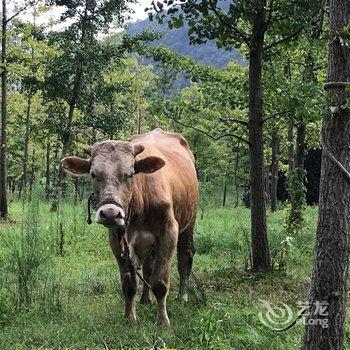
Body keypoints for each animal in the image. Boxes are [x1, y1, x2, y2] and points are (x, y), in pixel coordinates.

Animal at [59, 129, 197, 326]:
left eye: (130, 174)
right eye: (93, 174)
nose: (110, 213)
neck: (140, 201)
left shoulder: (169, 232)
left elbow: (160, 282)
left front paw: (162, 320)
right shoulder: (117, 237)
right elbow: (129, 284)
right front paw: (129, 318)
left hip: (189, 222)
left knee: (185, 257)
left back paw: (183, 296)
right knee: (148, 267)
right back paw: (145, 299)